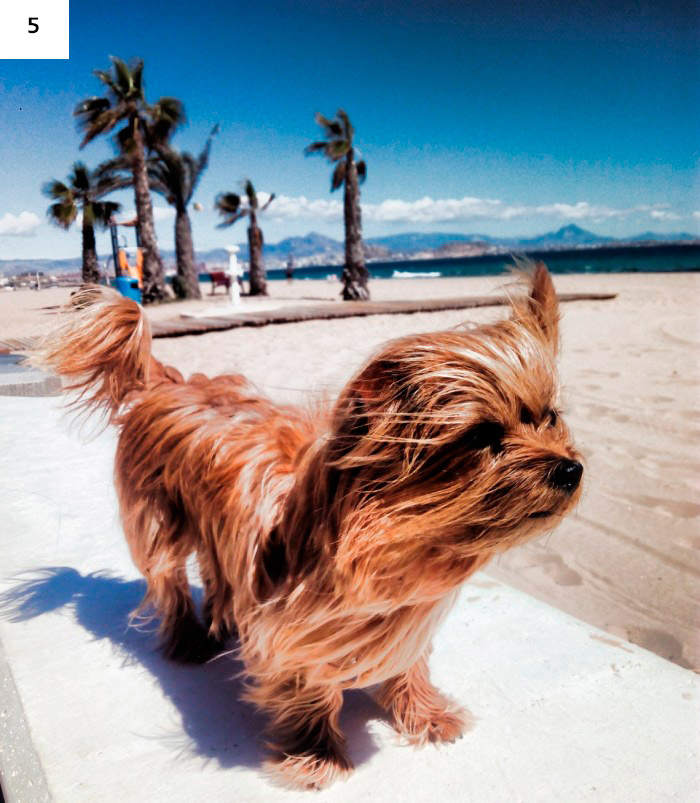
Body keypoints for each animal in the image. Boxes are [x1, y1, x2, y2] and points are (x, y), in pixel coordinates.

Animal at [32, 263, 582, 790]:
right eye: (484, 435)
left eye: (549, 418)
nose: (570, 470)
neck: (397, 546)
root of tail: (171, 381)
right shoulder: (291, 635)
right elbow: (309, 691)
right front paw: (318, 756)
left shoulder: (403, 618)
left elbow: (409, 665)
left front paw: (425, 714)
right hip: (159, 519)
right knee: (167, 579)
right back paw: (188, 638)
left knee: (213, 571)